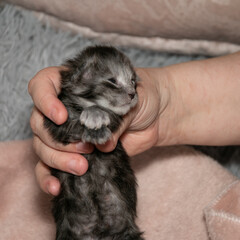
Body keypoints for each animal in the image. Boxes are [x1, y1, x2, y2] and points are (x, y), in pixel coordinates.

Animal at [43, 45, 143, 240]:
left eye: (133, 81)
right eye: (112, 81)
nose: (133, 94)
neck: (82, 104)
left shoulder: (116, 121)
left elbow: (108, 115)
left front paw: (96, 117)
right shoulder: (56, 121)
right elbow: (69, 124)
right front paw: (93, 118)